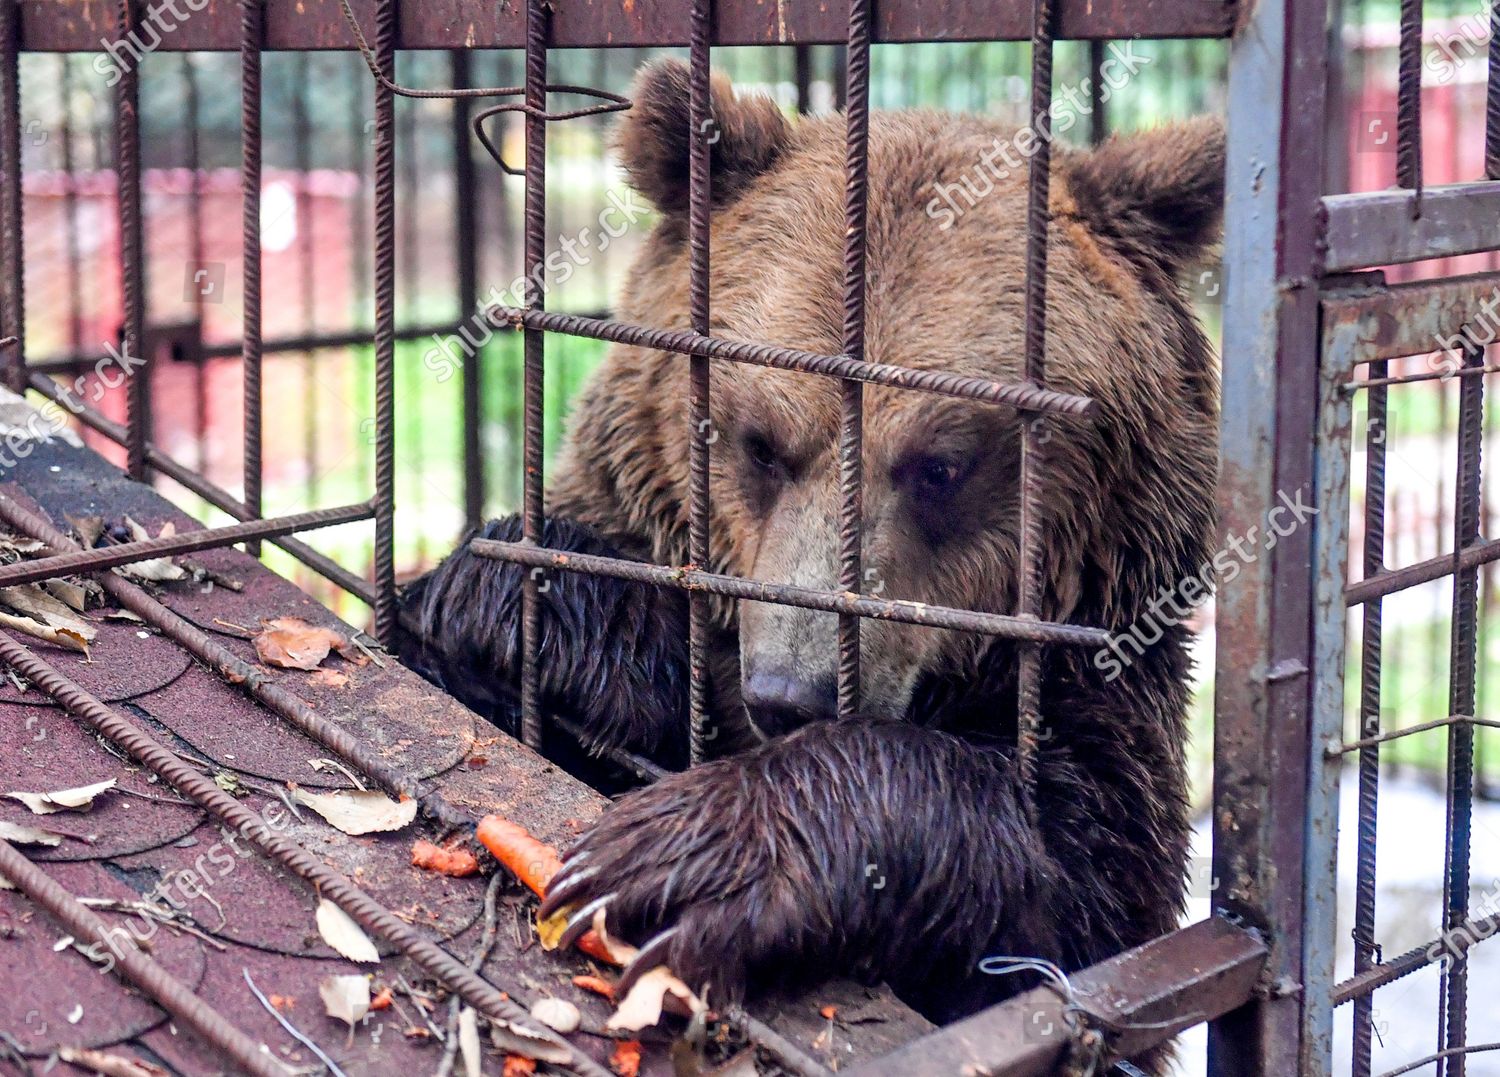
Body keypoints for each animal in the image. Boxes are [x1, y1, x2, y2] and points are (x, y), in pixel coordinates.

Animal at [399, 61, 1218, 1044]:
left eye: (941, 464)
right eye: (758, 440)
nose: (793, 693)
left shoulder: (1105, 682)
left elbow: (1080, 910)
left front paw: (689, 857)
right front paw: (546, 627)